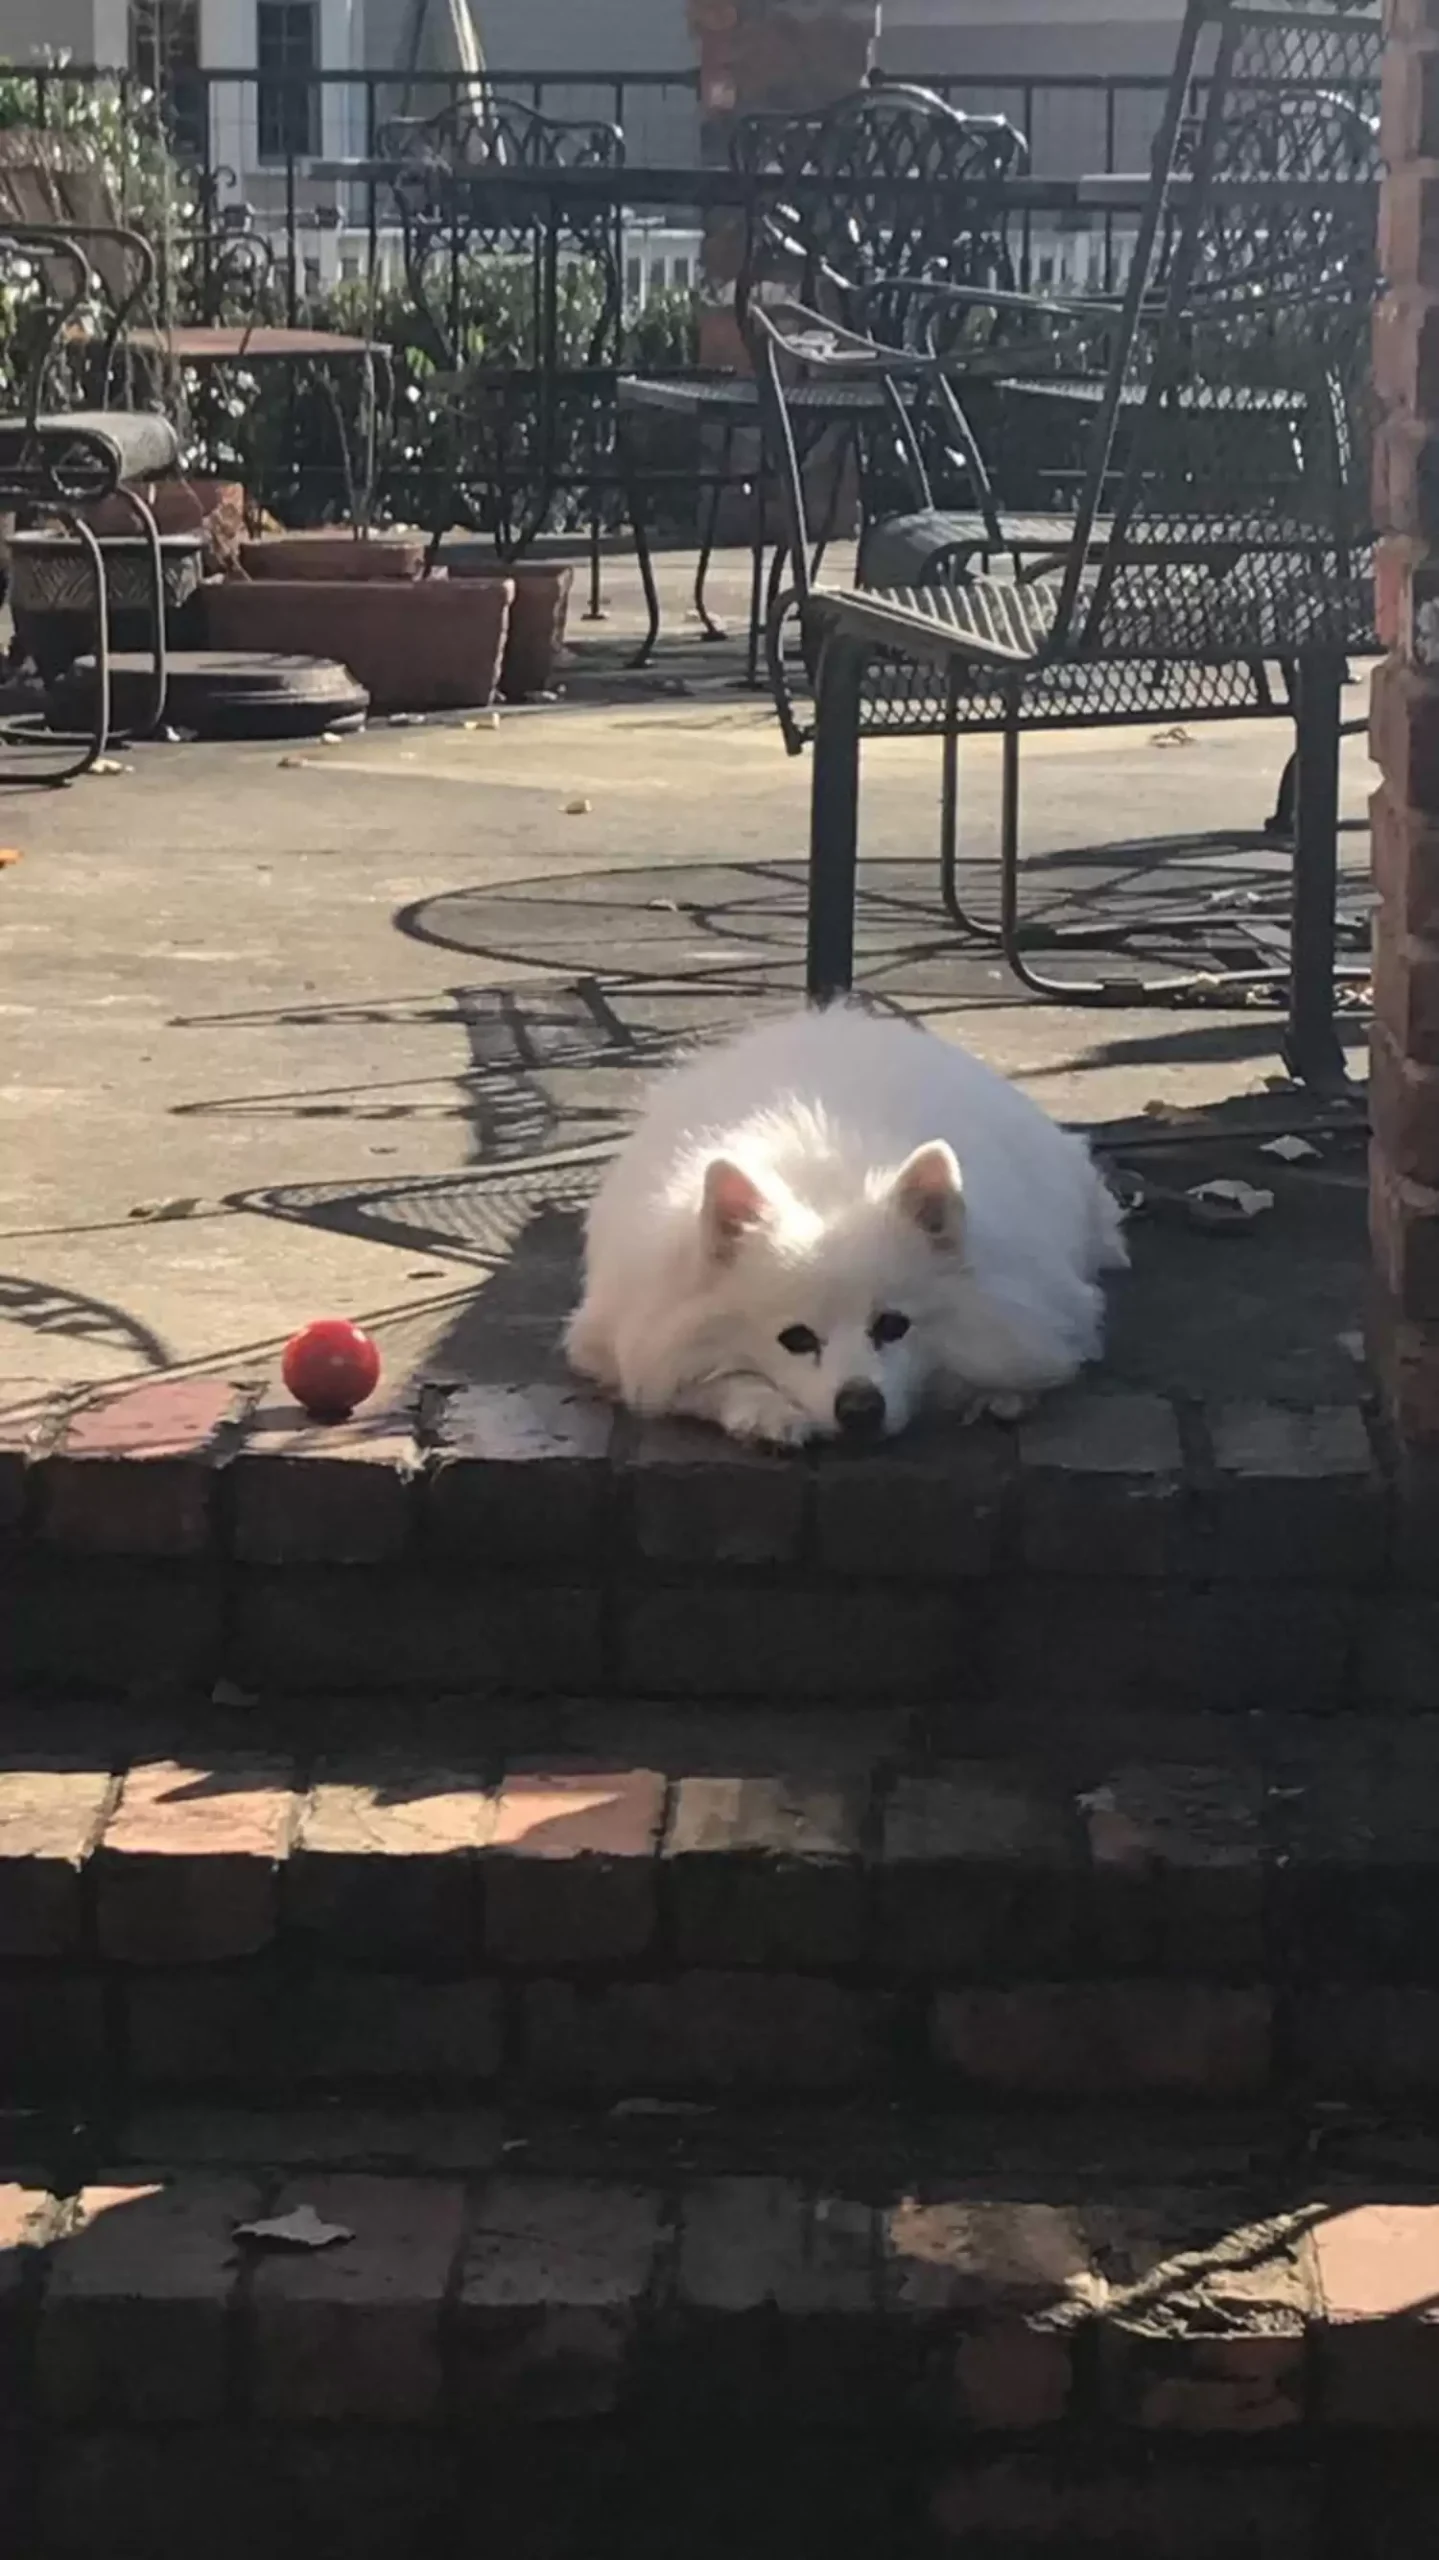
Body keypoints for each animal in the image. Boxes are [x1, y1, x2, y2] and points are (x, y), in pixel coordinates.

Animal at [565, 998, 1126, 1443]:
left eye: (893, 1325)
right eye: (797, 1338)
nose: (860, 1408)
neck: (830, 1185)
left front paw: (995, 1396)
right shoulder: (636, 1337)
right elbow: (701, 1381)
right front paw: (767, 1413)